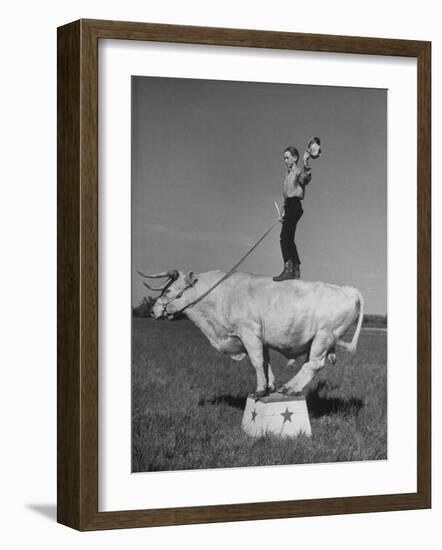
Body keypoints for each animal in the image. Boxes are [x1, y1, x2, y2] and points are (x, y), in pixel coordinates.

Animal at [145, 272, 362, 402]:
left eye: (169, 290)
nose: (152, 310)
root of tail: (349, 290)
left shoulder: (249, 332)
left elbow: (256, 362)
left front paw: (259, 389)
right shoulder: (258, 339)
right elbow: (265, 361)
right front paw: (269, 386)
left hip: (323, 337)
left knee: (314, 365)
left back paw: (289, 388)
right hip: (318, 341)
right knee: (310, 365)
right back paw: (289, 387)